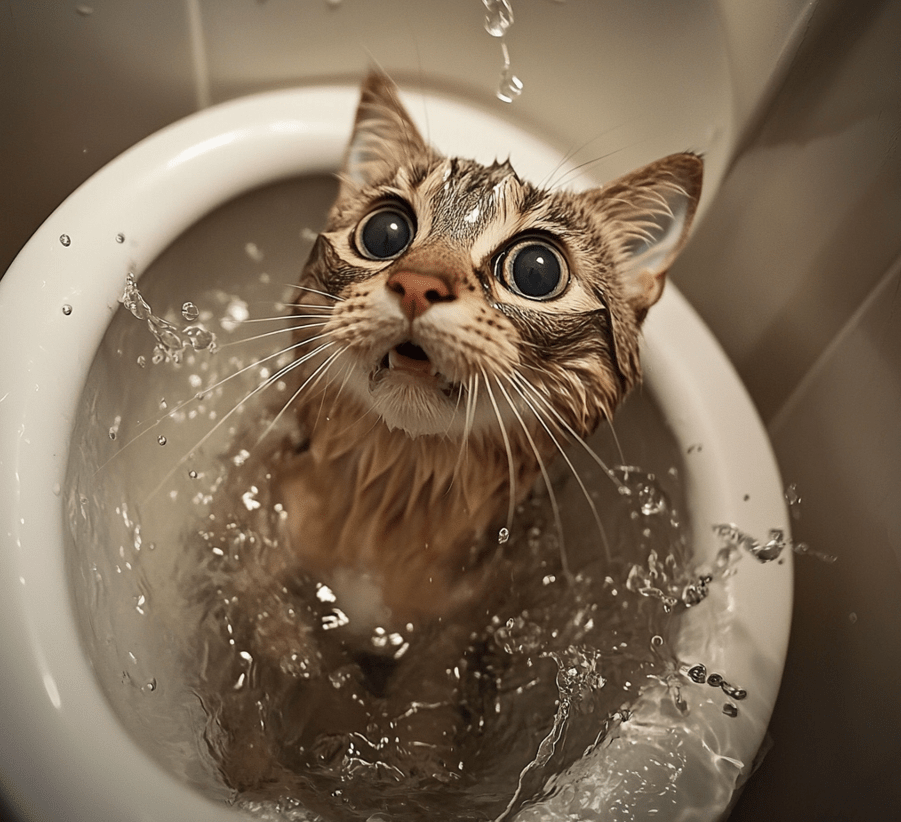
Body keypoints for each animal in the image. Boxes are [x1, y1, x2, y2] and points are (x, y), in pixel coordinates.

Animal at [206, 72, 704, 800]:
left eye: (535, 270)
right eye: (385, 231)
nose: (417, 283)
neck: (392, 499)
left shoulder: (460, 632)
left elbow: (425, 720)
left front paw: (402, 766)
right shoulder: (255, 542)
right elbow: (279, 660)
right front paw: (272, 760)